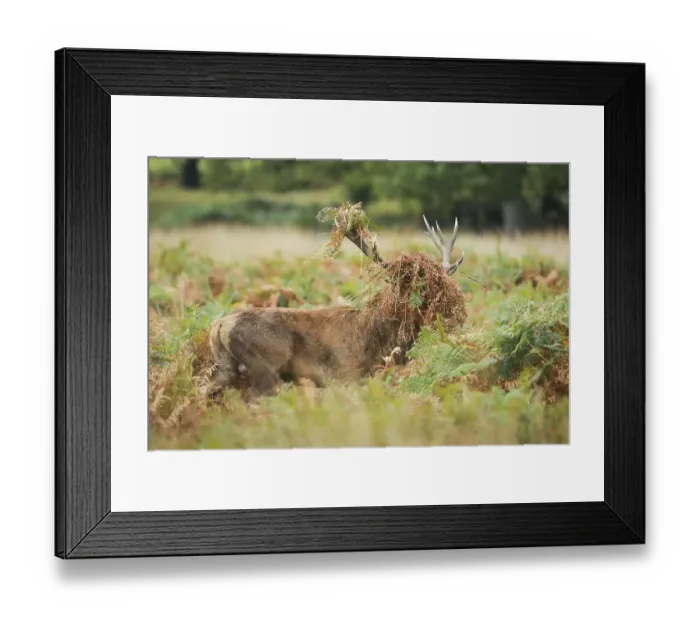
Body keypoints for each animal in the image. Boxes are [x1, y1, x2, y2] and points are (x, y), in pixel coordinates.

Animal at [205, 213, 466, 399]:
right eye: (415, 287)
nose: (448, 311)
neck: (383, 339)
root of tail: (219, 326)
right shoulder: (347, 375)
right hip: (267, 363)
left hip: (225, 365)